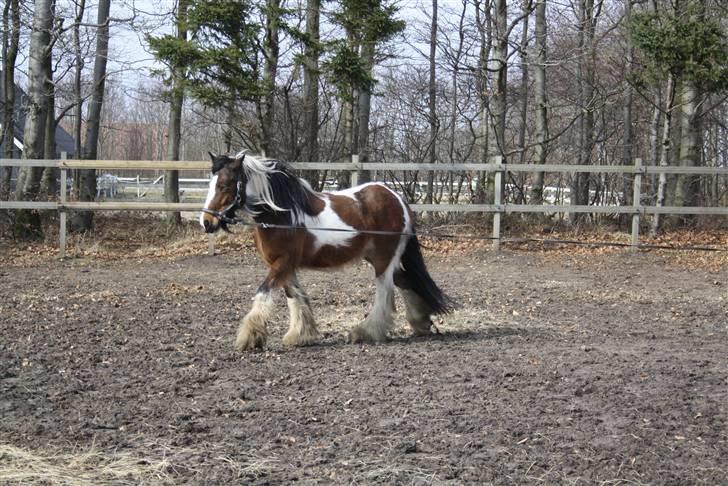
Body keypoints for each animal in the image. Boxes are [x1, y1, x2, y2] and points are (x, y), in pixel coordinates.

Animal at [199, 151, 450, 350]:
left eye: (224, 185)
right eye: (210, 185)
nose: (206, 222)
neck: (282, 215)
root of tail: (396, 198)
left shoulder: (282, 263)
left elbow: (263, 292)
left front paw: (249, 338)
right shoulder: (285, 266)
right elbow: (295, 297)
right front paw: (300, 335)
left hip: (383, 260)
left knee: (385, 293)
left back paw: (365, 332)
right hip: (384, 258)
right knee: (405, 282)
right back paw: (420, 322)